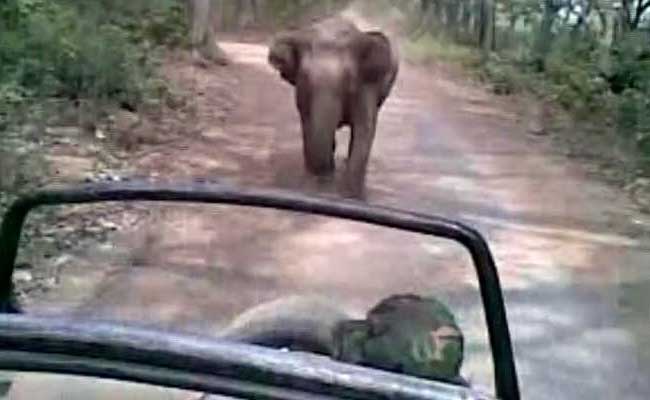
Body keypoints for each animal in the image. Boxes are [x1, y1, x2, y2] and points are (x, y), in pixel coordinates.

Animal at [268, 17, 399, 197]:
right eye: (305, 78)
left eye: (349, 78)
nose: (322, 176)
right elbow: (308, 124)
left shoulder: (367, 87)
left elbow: (364, 129)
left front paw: (352, 195)